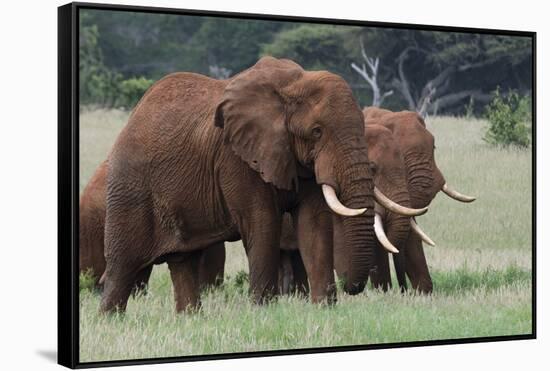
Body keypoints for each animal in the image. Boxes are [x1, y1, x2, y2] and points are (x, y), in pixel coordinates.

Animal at [364, 107, 476, 294]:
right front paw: (384, 292)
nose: (404, 290)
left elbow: (412, 235)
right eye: (372, 168)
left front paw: (424, 293)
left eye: (434, 147)